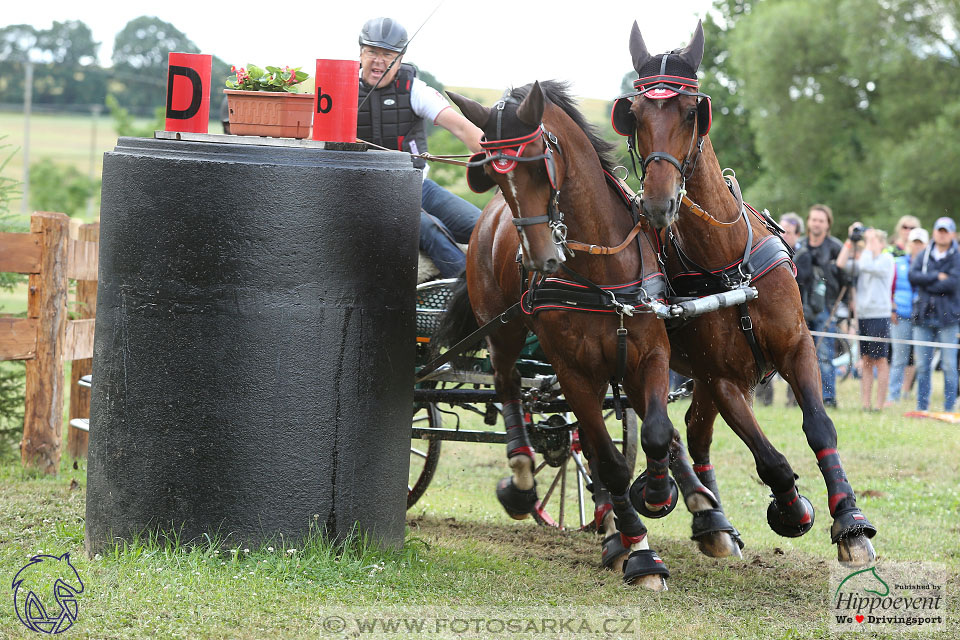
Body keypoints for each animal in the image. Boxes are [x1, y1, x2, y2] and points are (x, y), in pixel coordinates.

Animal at [438, 81, 716, 592]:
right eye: (495, 173)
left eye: (538, 161)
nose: (540, 258)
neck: (601, 269)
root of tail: (487, 220)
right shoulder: (572, 372)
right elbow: (609, 461)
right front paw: (640, 553)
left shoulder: (649, 353)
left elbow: (655, 431)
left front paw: (657, 493)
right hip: (503, 331)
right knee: (509, 386)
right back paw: (524, 476)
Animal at [616, 22, 876, 568]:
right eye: (635, 115)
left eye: (691, 111)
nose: (657, 203)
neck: (727, 264)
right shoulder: (724, 379)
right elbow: (769, 458)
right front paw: (793, 508)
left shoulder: (797, 347)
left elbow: (820, 426)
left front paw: (850, 521)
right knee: (671, 434)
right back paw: (699, 509)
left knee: (693, 433)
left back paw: (712, 519)